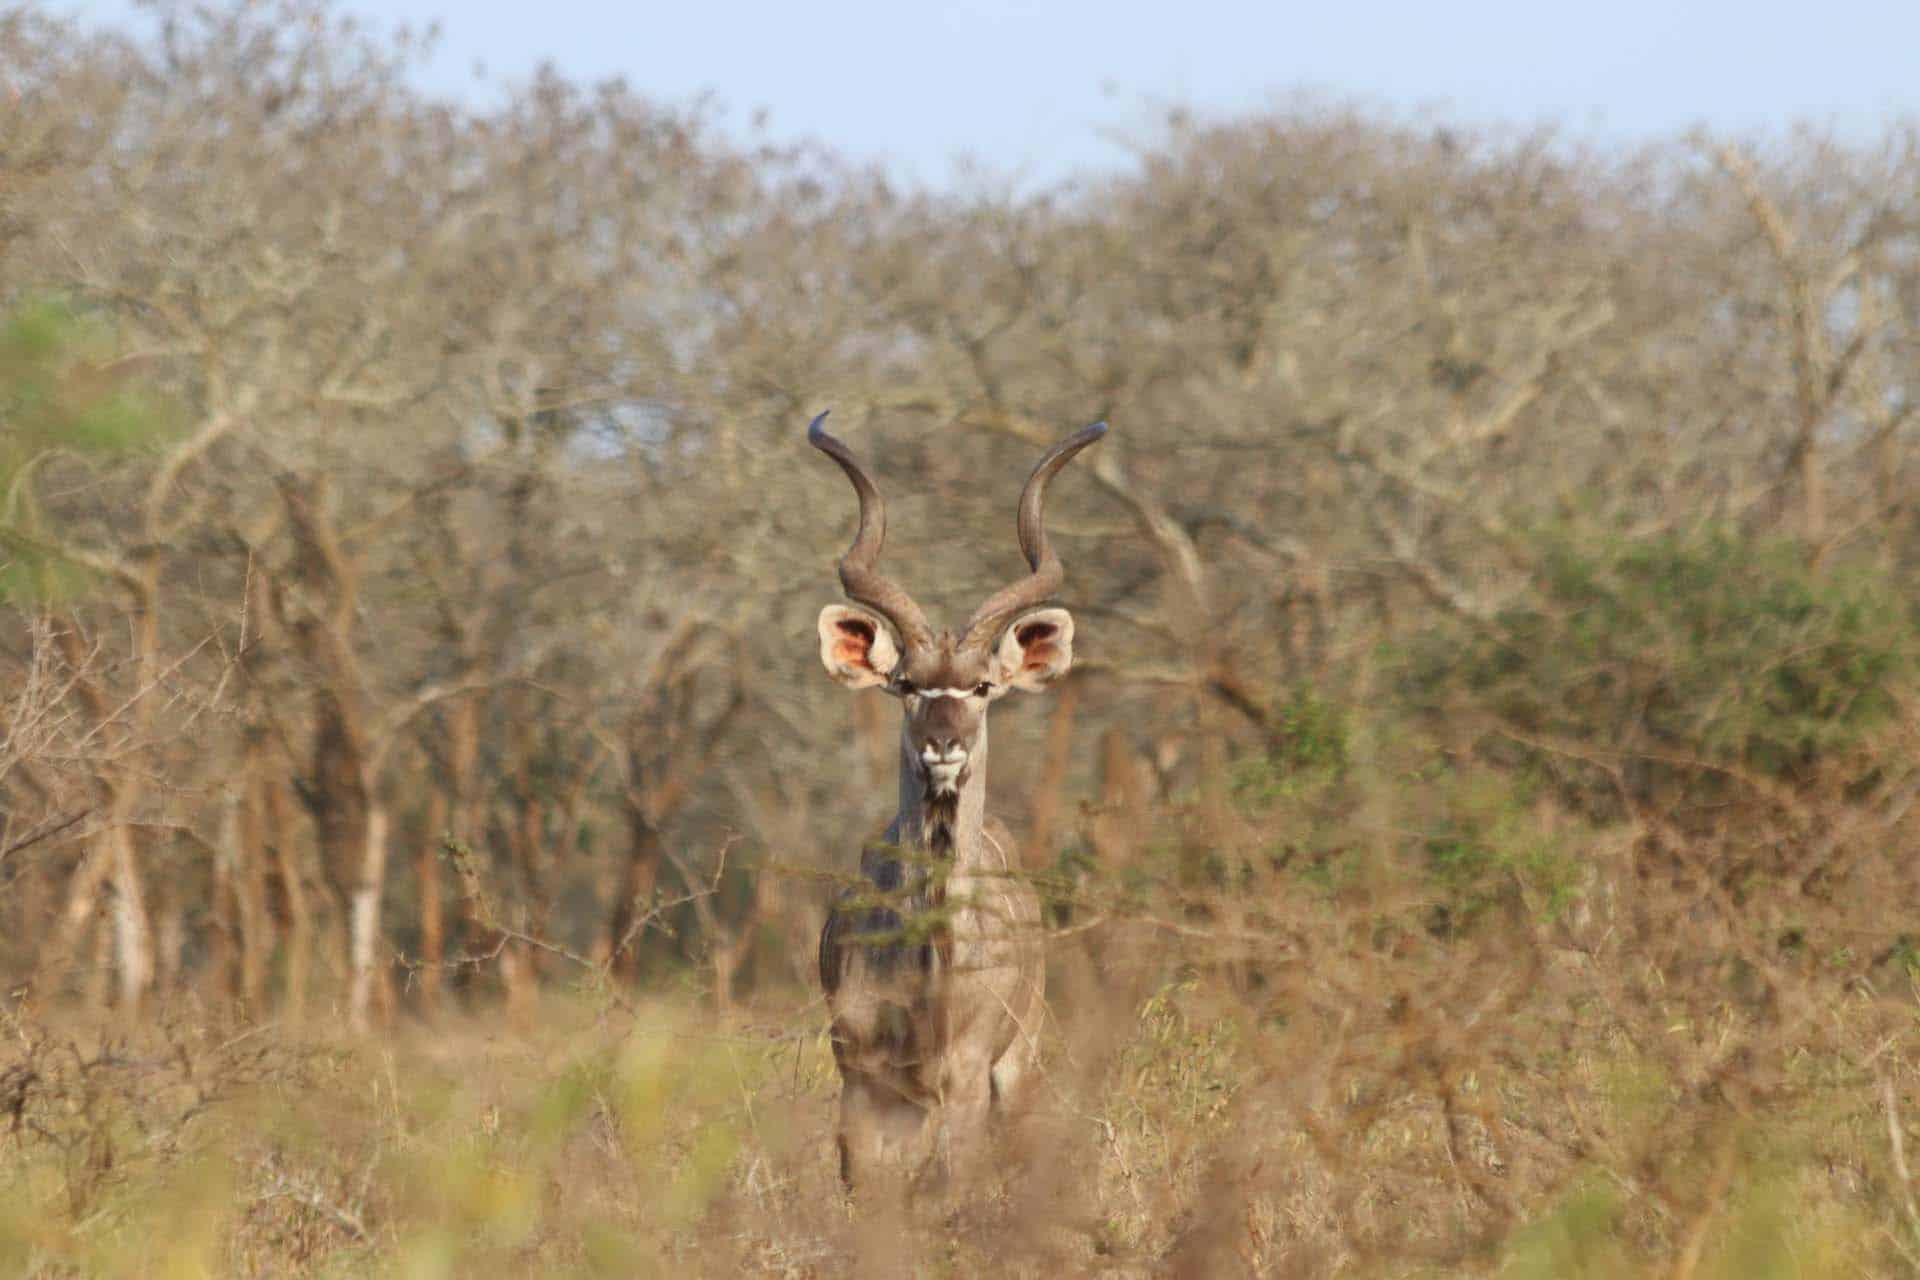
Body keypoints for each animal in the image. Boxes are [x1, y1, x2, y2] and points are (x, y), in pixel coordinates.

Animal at [810, 410, 1113, 1189]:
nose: (943, 746)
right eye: (906, 684)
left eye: (982, 686)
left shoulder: (970, 1078)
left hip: (1019, 1059)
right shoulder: (863, 1082)